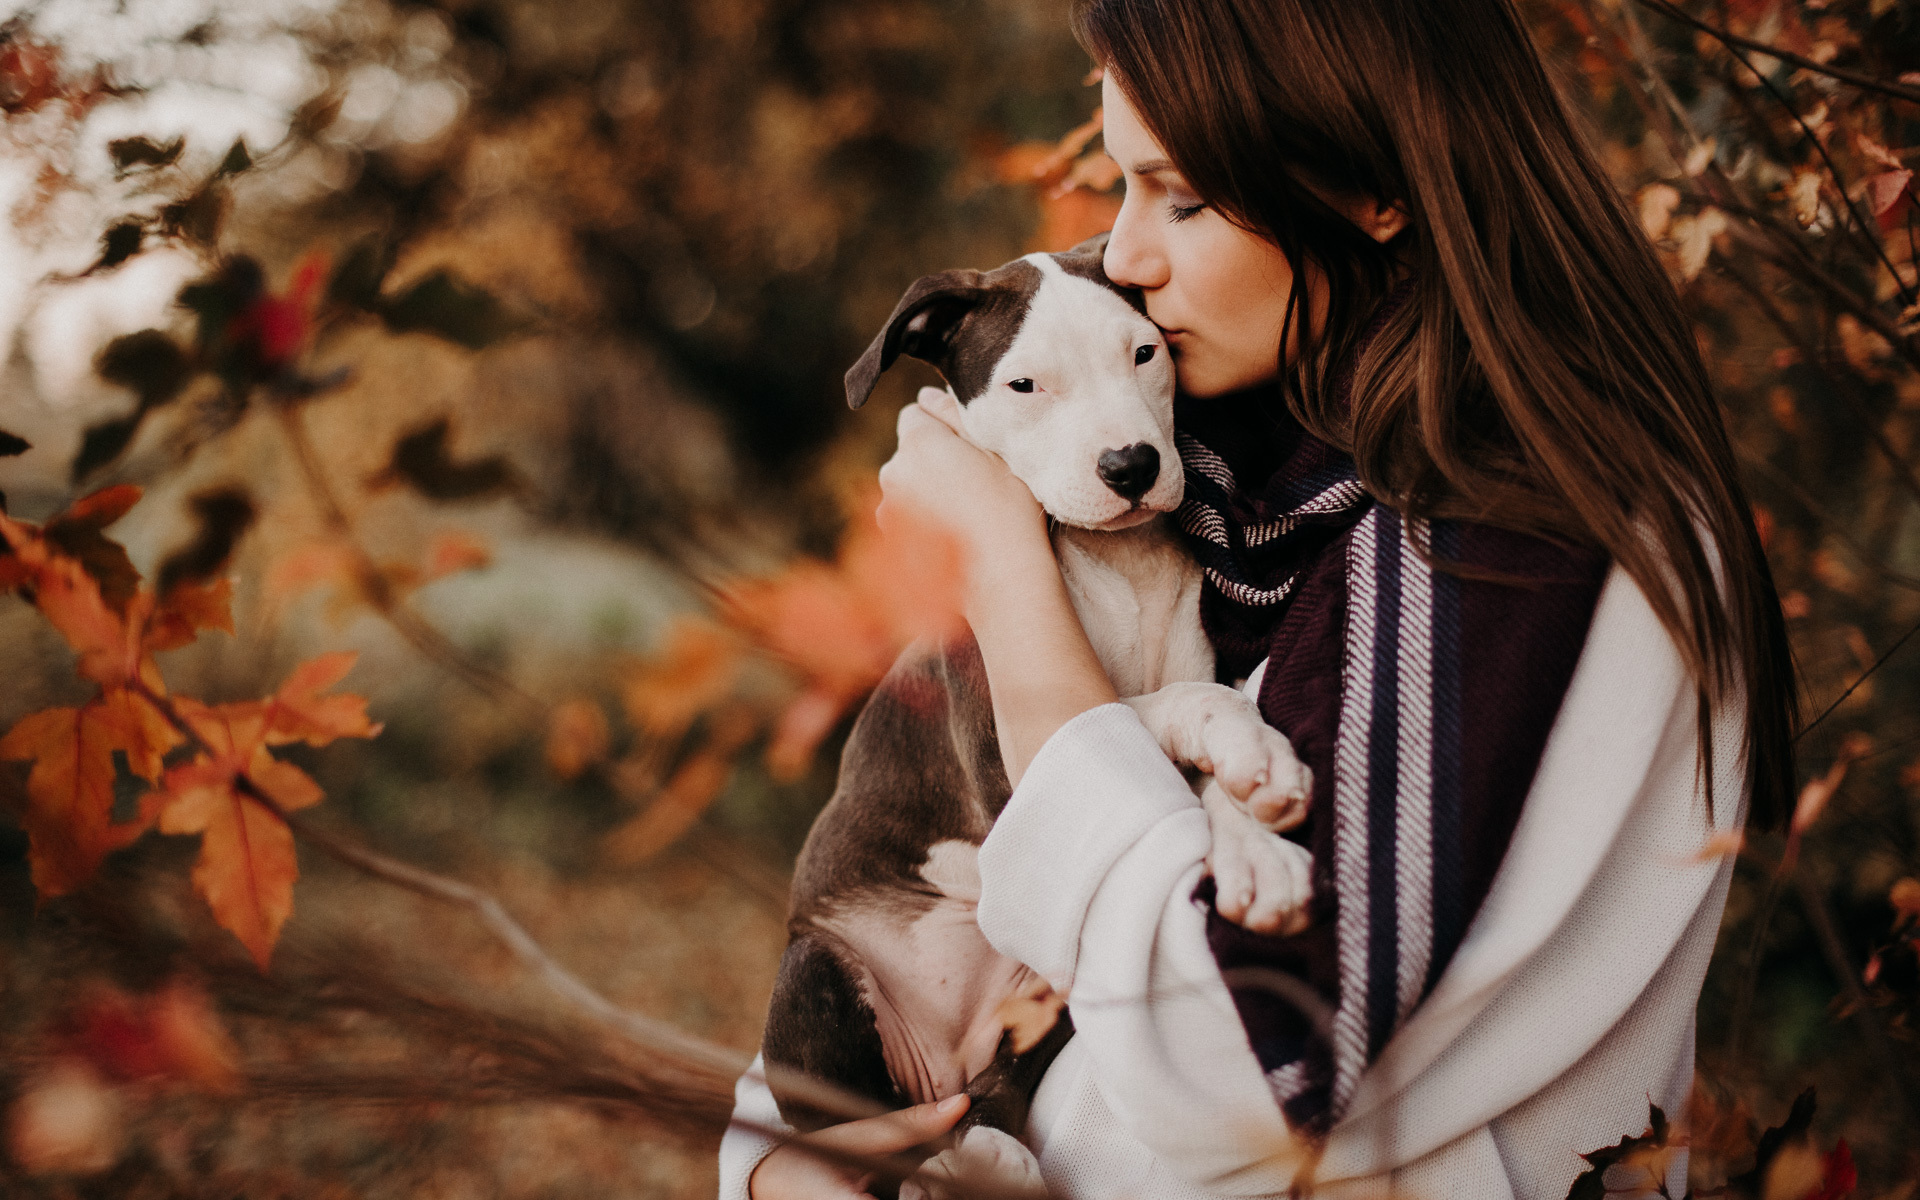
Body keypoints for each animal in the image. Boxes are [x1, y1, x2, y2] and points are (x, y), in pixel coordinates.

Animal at [756, 236, 1313, 1198]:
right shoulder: (1007, 762)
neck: (1116, 561)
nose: (1130, 466)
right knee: (870, 1143)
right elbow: (1175, 707)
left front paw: (1258, 836)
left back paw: (988, 1146)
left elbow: (1191, 772)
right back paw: (966, 1154)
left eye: (1145, 352)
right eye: (1025, 386)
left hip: (1057, 989)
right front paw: (1246, 761)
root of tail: (945, 1059)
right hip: (814, 972)